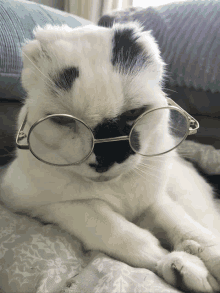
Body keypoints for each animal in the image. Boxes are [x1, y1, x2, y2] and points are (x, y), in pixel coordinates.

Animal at [0, 22, 220, 290]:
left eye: (134, 113)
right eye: (62, 120)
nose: (105, 160)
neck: (117, 190)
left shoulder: (154, 200)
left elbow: (186, 226)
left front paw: (195, 260)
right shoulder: (31, 199)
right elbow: (114, 228)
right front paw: (176, 264)